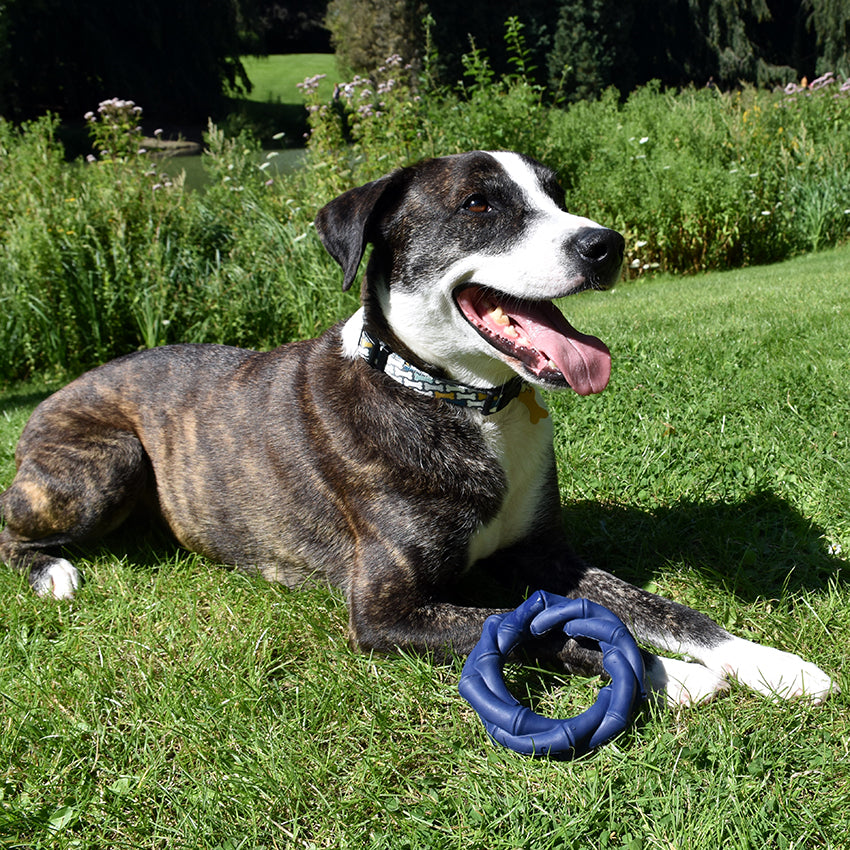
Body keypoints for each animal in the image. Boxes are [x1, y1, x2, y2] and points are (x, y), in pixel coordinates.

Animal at [0, 151, 836, 704]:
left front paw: (772, 663)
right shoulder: (384, 614)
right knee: (15, 528)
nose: (606, 244)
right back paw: (54, 572)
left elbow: (663, 608)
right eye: (478, 205)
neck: (456, 399)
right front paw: (675, 676)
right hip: (103, 464)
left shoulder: (548, 555)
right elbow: (533, 629)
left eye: (558, 194)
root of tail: (58, 392)